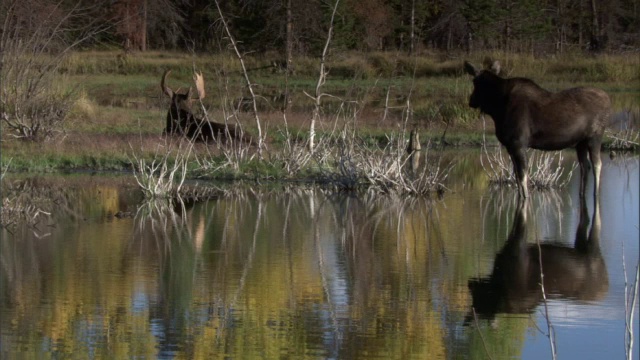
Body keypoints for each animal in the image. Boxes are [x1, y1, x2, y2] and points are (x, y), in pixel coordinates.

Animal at [464, 60, 608, 198]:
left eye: (474, 82)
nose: (471, 101)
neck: (497, 109)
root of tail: (608, 100)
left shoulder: (518, 143)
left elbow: (523, 177)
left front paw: (526, 197)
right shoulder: (510, 146)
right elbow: (517, 177)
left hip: (595, 136)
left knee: (597, 165)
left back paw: (596, 193)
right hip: (580, 143)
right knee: (585, 166)